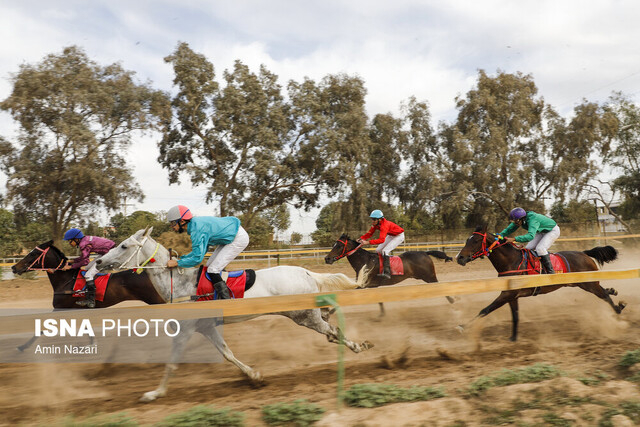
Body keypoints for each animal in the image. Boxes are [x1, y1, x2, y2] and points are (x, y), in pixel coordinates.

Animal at [95, 229, 376, 402]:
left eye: (123, 245)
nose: (98, 262)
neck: (181, 283)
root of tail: (307, 272)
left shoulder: (185, 330)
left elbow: (172, 363)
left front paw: (155, 393)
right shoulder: (206, 327)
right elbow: (227, 353)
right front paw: (254, 376)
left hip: (303, 315)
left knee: (332, 330)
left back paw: (358, 346)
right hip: (305, 313)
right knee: (329, 321)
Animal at [456, 226, 624, 342]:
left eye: (475, 241)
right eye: (467, 240)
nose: (459, 258)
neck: (511, 261)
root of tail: (584, 253)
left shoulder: (507, 294)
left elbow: (485, 309)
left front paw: (463, 327)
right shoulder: (511, 295)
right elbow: (515, 316)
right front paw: (513, 338)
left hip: (589, 283)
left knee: (604, 295)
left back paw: (618, 309)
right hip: (583, 283)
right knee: (604, 291)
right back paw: (613, 292)